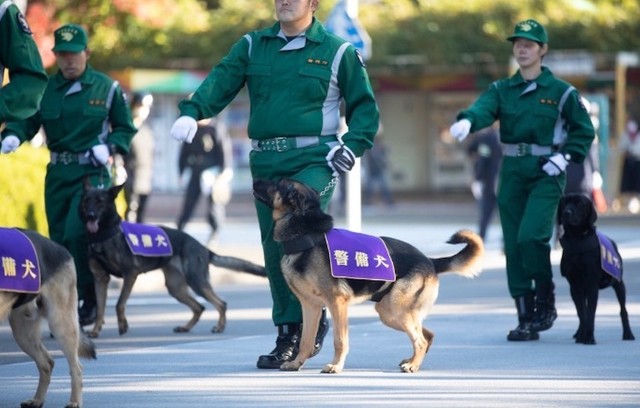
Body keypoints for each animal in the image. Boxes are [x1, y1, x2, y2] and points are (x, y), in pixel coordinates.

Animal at [0, 230, 95, 408]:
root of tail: (61, 249)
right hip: (23, 333)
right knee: (47, 363)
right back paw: (37, 400)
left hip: (61, 325)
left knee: (77, 368)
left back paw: (74, 401)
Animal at [79, 182, 264, 338]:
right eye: (87, 201)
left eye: (100, 202)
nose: (90, 216)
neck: (105, 235)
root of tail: (203, 247)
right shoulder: (100, 279)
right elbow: (100, 309)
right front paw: (95, 331)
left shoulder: (130, 275)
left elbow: (119, 303)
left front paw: (122, 325)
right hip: (176, 288)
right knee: (199, 307)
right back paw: (185, 327)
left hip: (197, 282)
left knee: (221, 304)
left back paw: (219, 327)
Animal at [252, 178, 482, 372]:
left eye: (278, 183)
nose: (255, 180)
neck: (306, 235)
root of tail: (430, 260)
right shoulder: (310, 306)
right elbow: (306, 341)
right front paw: (296, 363)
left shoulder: (337, 303)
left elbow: (339, 340)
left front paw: (336, 366)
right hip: (390, 313)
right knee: (427, 334)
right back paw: (412, 361)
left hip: (397, 311)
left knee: (421, 339)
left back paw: (412, 365)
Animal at [556, 194, 632, 344]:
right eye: (565, 202)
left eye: (580, 204)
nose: (566, 213)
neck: (576, 239)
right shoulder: (575, 286)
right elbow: (582, 312)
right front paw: (582, 336)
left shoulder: (592, 285)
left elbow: (590, 313)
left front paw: (589, 337)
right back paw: (579, 332)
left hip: (619, 284)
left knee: (623, 310)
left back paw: (628, 334)